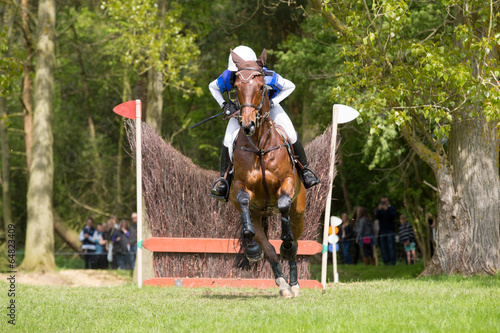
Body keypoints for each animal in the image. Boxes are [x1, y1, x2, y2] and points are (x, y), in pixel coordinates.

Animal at [227, 48, 304, 296]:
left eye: (261, 86)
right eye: (236, 88)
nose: (248, 125)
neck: (260, 146)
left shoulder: (287, 183)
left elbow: (283, 204)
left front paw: (287, 245)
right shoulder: (241, 188)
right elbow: (243, 202)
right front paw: (252, 249)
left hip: (299, 211)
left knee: (295, 239)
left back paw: (294, 282)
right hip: (258, 216)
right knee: (268, 248)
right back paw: (282, 284)